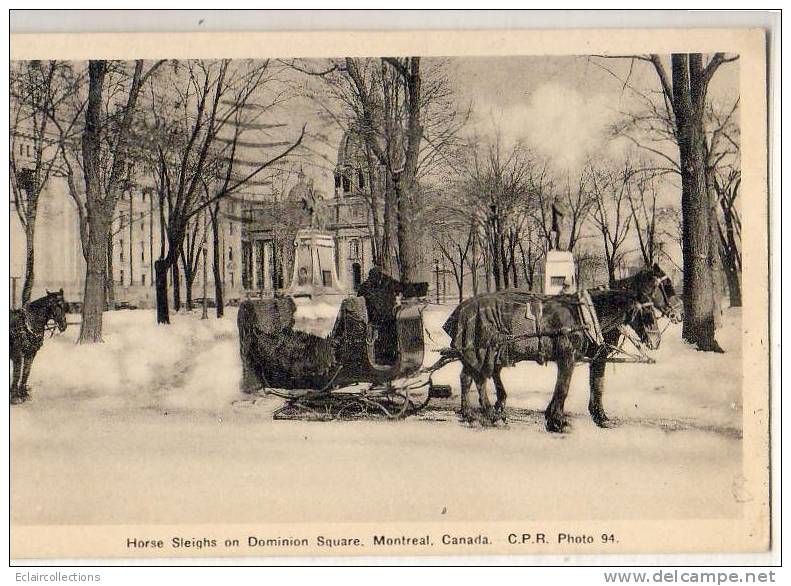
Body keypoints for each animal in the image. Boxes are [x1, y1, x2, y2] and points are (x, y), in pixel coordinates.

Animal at [442, 264, 676, 428]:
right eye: (667, 288)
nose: (656, 340)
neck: (588, 314)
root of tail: (462, 308)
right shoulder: (568, 357)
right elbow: (564, 387)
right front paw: (557, 420)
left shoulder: (595, 357)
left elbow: (596, 385)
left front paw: (598, 416)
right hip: (483, 349)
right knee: (477, 378)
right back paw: (488, 412)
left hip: (484, 352)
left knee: (469, 378)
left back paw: (472, 413)